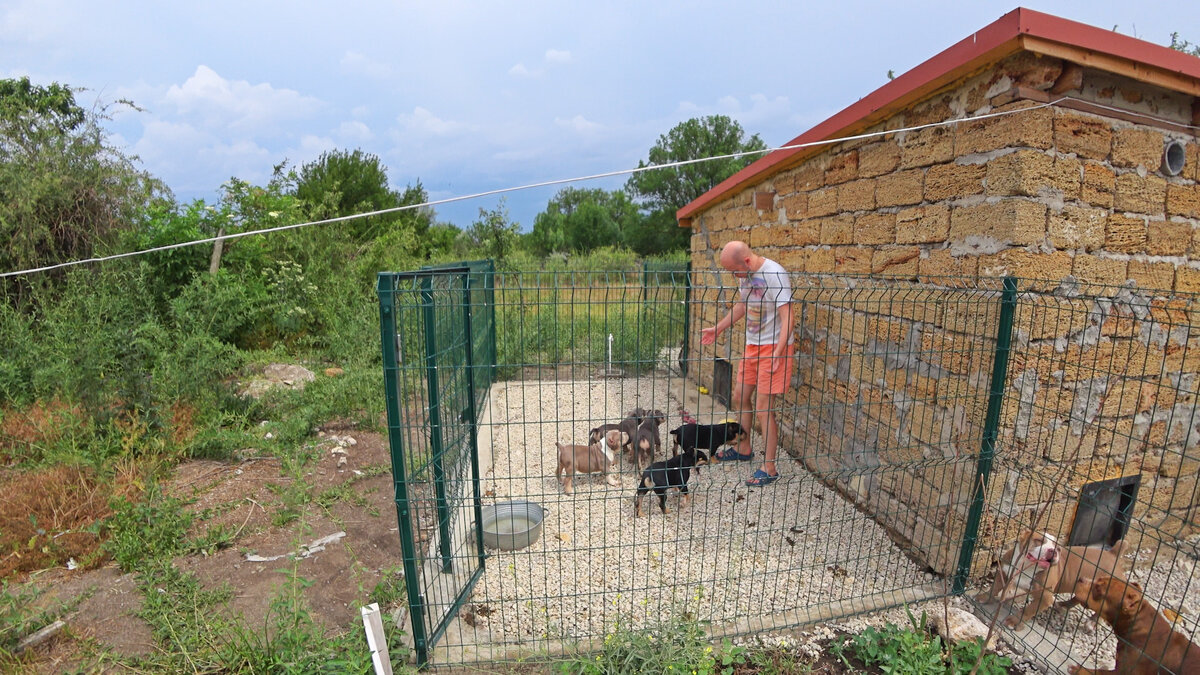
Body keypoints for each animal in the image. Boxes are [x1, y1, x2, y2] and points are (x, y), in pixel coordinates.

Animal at [1070, 571, 1200, 672]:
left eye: (1098, 589)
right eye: (1099, 578)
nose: (1080, 578)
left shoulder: (1124, 671)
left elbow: (1098, 672)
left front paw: (1077, 669)